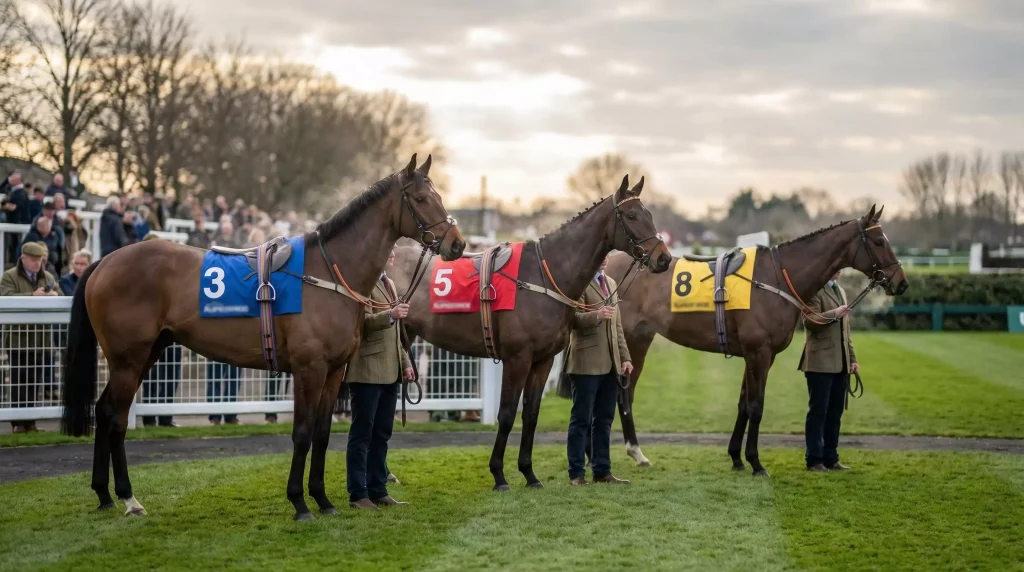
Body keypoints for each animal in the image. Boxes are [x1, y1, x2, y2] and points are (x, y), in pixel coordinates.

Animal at [60, 154, 466, 521]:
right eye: (421, 198)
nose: (458, 244)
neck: (327, 272)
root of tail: (104, 261)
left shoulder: (334, 372)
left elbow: (321, 433)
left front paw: (323, 500)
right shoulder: (308, 369)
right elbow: (302, 432)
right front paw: (300, 503)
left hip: (148, 353)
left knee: (103, 410)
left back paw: (104, 495)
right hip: (128, 359)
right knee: (116, 418)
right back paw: (129, 499)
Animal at [389, 175, 673, 490]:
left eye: (649, 215)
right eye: (632, 215)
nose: (664, 258)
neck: (543, 276)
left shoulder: (542, 360)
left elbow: (531, 414)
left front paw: (529, 473)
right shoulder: (517, 358)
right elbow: (506, 414)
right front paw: (499, 475)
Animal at [600, 205, 908, 475]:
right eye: (879, 241)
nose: (901, 282)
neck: (776, 278)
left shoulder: (758, 356)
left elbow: (743, 404)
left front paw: (737, 458)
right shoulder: (759, 352)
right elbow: (756, 407)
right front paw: (756, 463)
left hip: (640, 340)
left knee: (626, 393)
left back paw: (637, 452)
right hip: (627, 338)